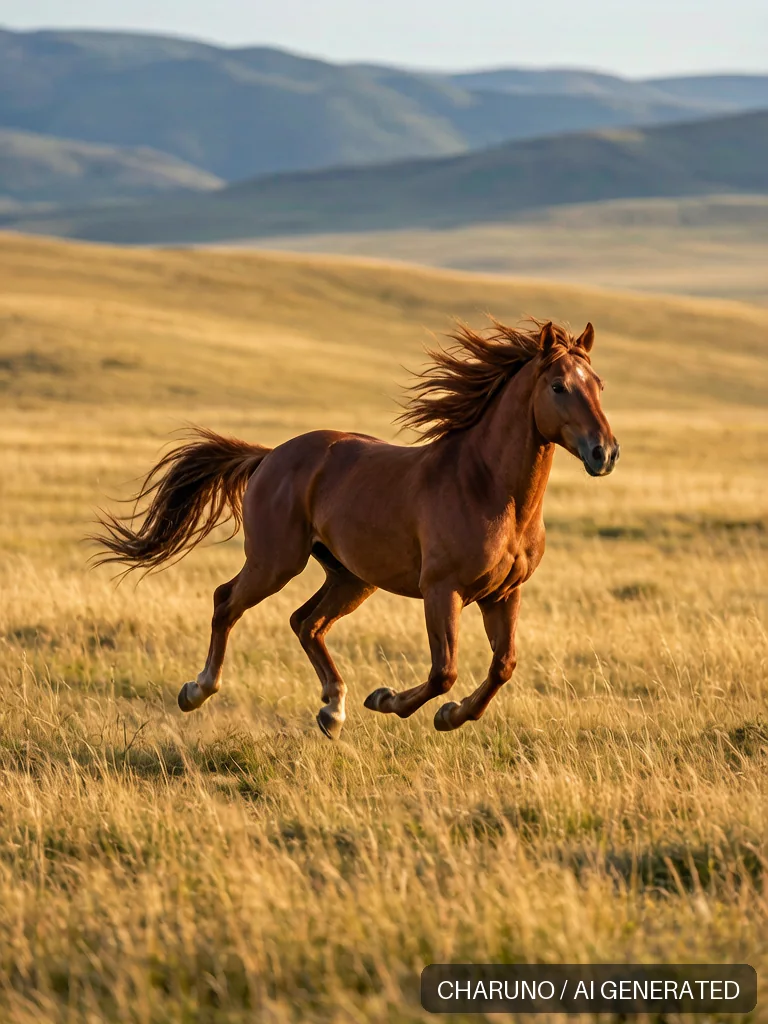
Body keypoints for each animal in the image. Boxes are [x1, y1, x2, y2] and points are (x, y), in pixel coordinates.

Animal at [94, 317, 619, 739]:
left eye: (599, 383)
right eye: (558, 387)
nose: (604, 453)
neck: (489, 488)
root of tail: (270, 456)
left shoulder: (504, 594)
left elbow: (503, 666)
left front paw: (449, 715)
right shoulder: (441, 589)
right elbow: (444, 671)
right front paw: (390, 701)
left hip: (351, 578)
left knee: (305, 622)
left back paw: (333, 709)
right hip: (275, 562)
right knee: (227, 602)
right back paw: (197, 690)